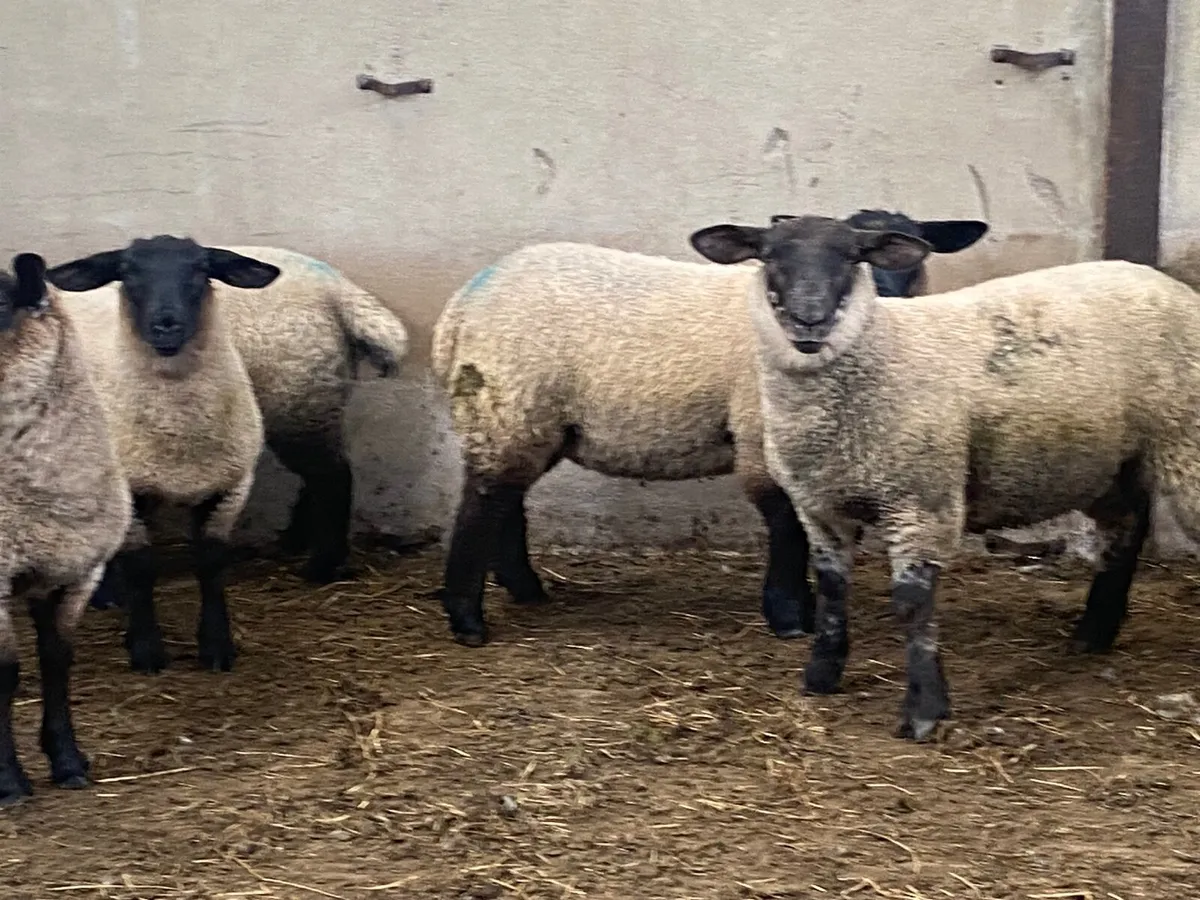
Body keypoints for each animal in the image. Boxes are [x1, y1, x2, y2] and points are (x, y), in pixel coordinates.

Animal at [45, 236, 281, 675]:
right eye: (128, 271)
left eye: (201, 268)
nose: (166, 324)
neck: (178, 430)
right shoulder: (133, 488)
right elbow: (141, 568)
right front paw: (146, 649)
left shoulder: (229, 487)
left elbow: (211, 563)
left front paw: (217, 646)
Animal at [87, 247, 410, 610]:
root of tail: (339, 292)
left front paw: (107, 593)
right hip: (310, 397)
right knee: (318, 474)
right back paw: (294, 542)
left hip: (296, 394)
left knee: (331, 476)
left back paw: (322, 565)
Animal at [431, 211, 987, 646]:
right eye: (771, 257)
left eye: (859, 257)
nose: (809, 318)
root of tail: (460, 307)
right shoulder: (759, 436)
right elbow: (786, 523)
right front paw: (789, 614)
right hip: (508, 401)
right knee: (482, 504)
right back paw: (467, 619)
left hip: (525, 418)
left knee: (505, 502)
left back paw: (526, 591)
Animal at [689, 213, 1200, 740]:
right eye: (769, 255)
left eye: (853, 257)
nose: (810, 319)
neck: (881, 353)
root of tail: (1160, 280)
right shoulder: (820, 505)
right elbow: (832, 589)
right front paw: (821, 676)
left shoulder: (921, 497)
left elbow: (912, 603)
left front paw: (924, 711)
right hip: (1107, 459)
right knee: (1127, 525)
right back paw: (1094, 634)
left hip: (1184, 441)